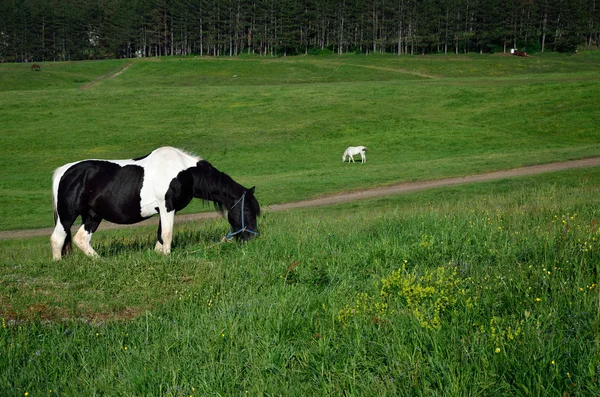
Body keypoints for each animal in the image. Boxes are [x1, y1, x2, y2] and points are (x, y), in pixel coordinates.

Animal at [49, 145, 260, 260]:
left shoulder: (163, 210)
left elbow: (160, 236)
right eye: (248, 211)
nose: (253, 239)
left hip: (93, 215)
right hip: (67, 216)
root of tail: (64, 171)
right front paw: (167, 257)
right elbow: (167, 235)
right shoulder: (167, 207)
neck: (185, 172)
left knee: (81, 239)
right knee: (58, 239)